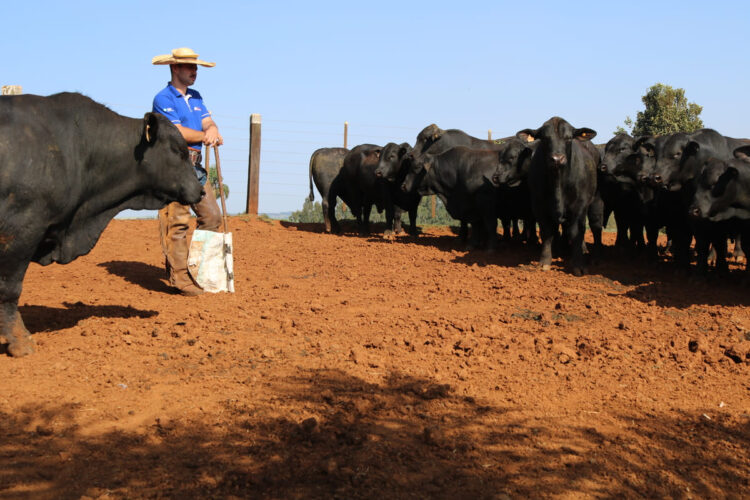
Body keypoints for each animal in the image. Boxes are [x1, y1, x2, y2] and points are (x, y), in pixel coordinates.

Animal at [520, 116, 604, 276]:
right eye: (545, 138)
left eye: (569, 138)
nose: (557, 158)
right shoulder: (539, 205)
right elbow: (547, 231)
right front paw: (545, 261)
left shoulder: (579, 205)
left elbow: (576, 231)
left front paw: (578, 264)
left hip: (595, 201)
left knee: (595, 227)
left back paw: (594, 256)